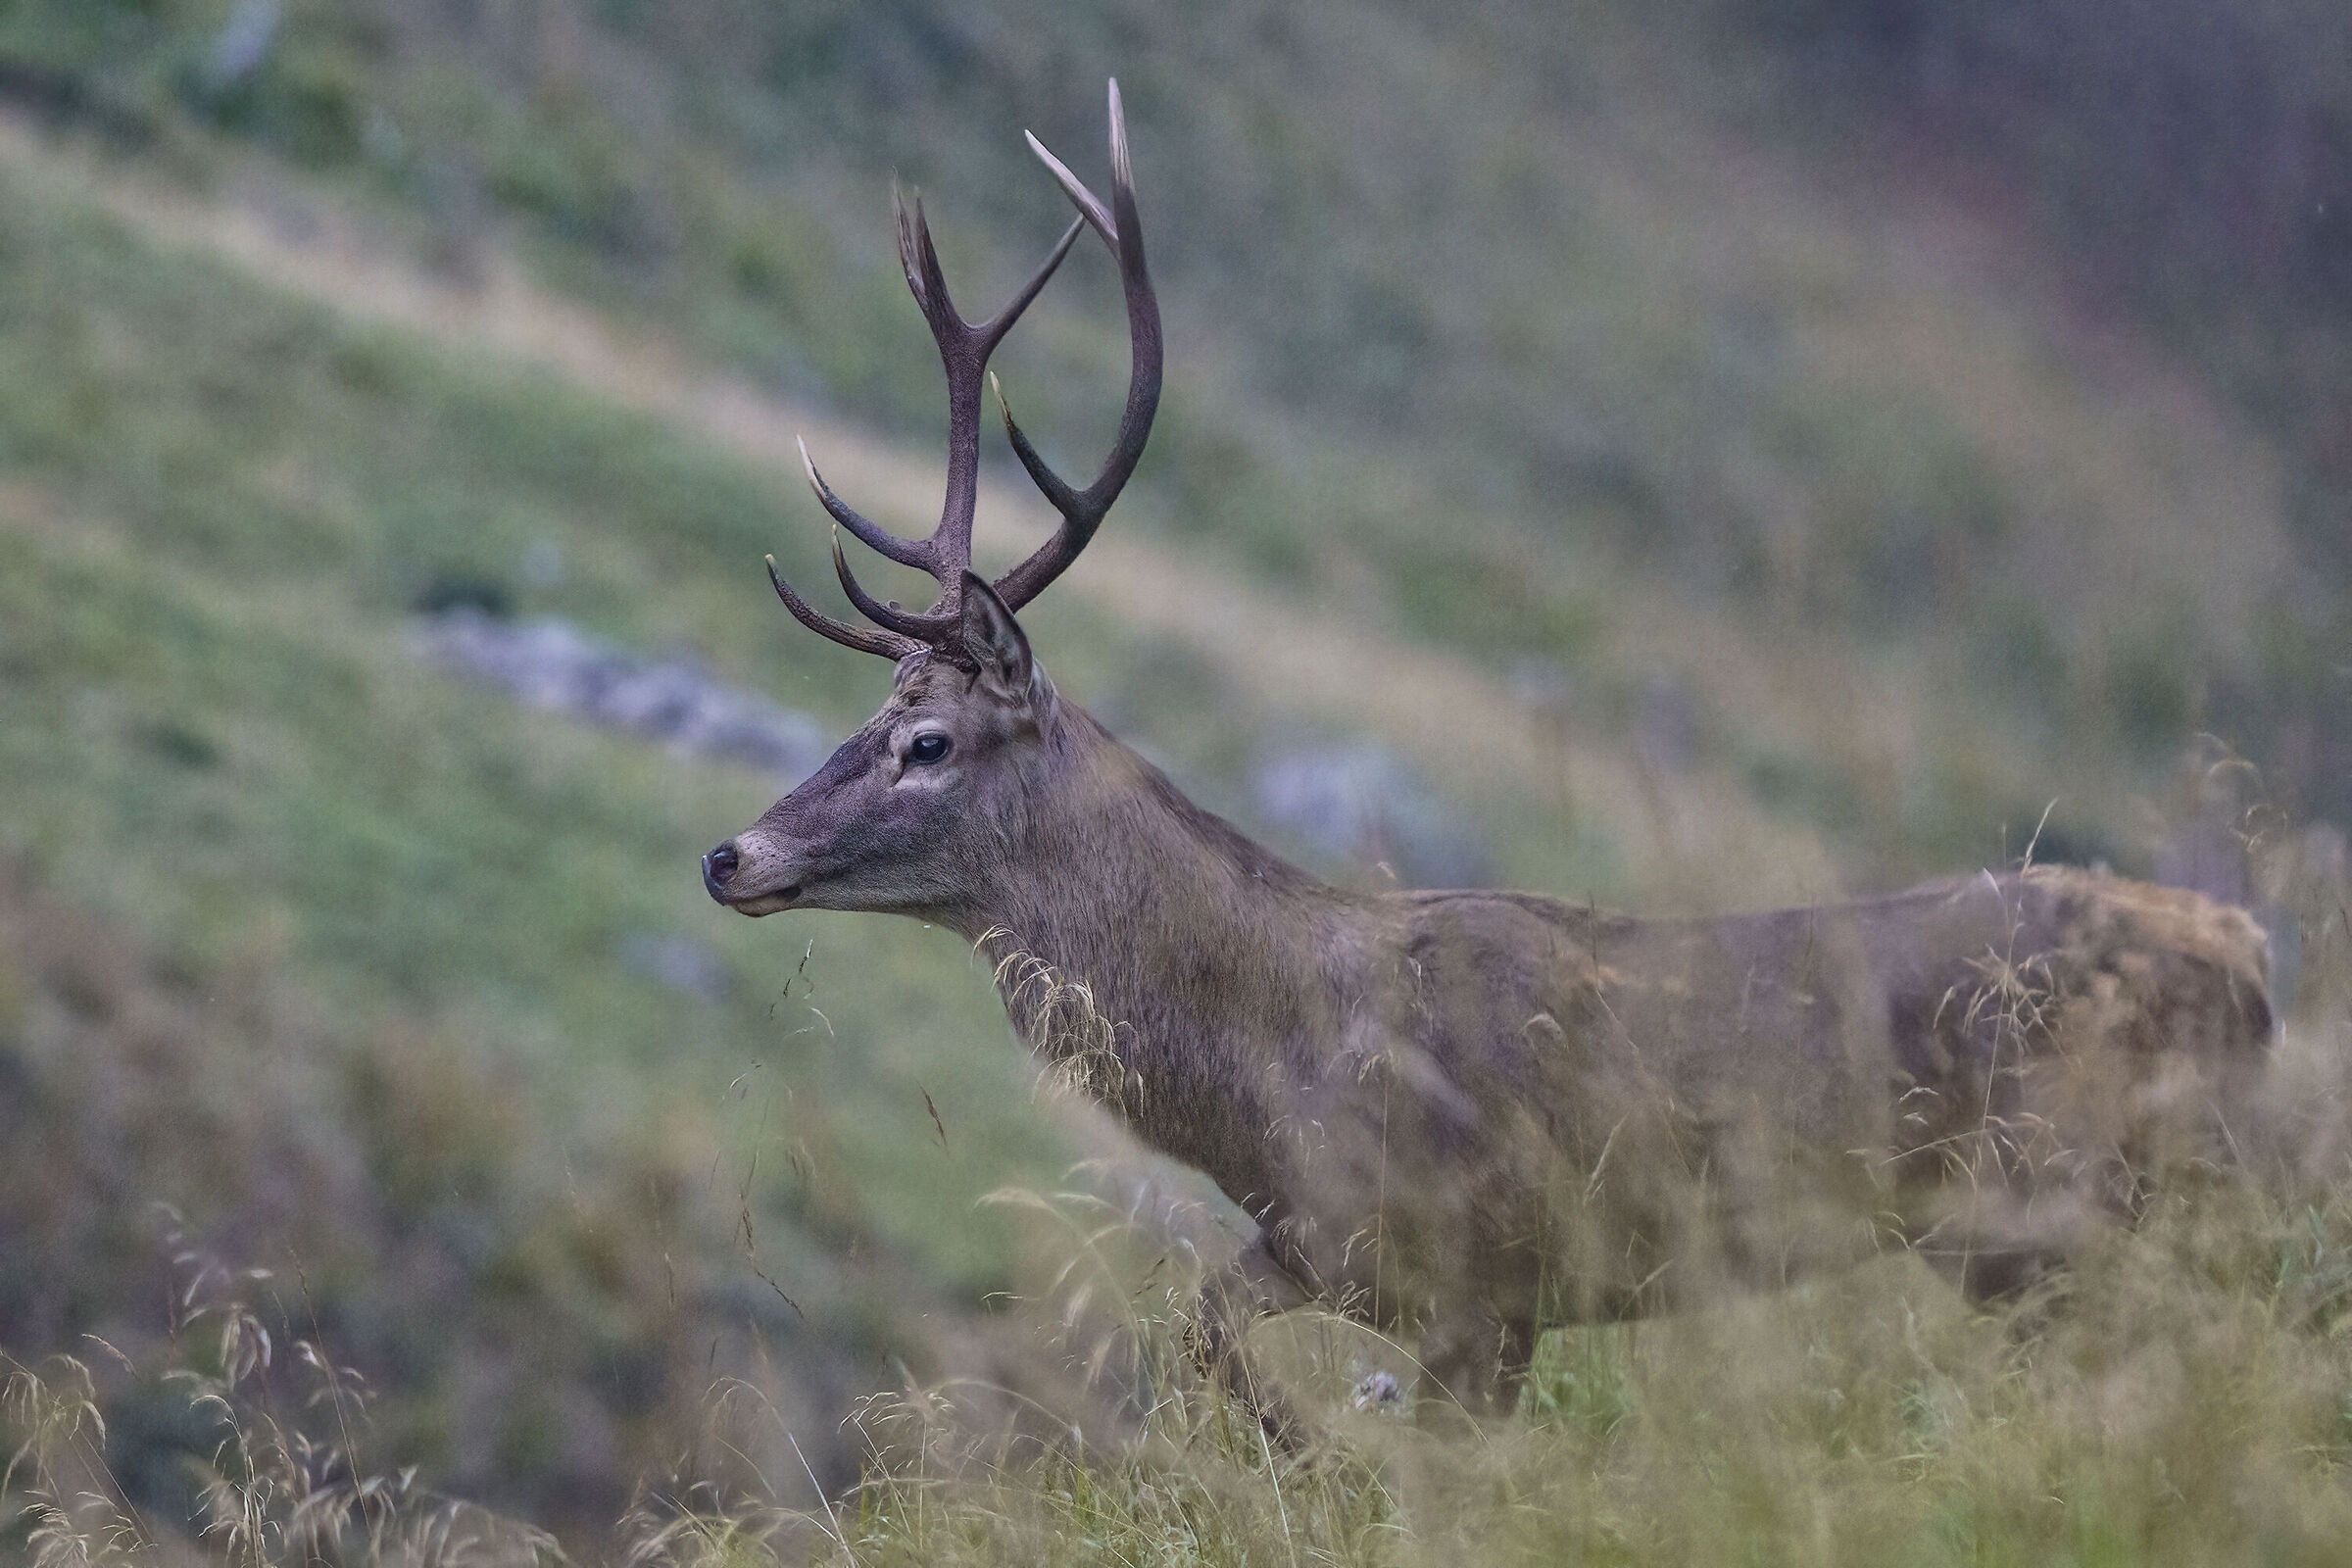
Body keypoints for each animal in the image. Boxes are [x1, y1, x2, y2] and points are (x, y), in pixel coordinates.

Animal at [701, 82, 2276, 1443]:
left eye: (926, 739)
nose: (731, 853)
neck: (1271, 1081)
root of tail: (2255, 961)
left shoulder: (1488, 1280)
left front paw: (1327, 1456)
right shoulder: (1338, 1255)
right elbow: (1199, 1331)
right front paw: (1309, 1448)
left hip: (2069, 1198)